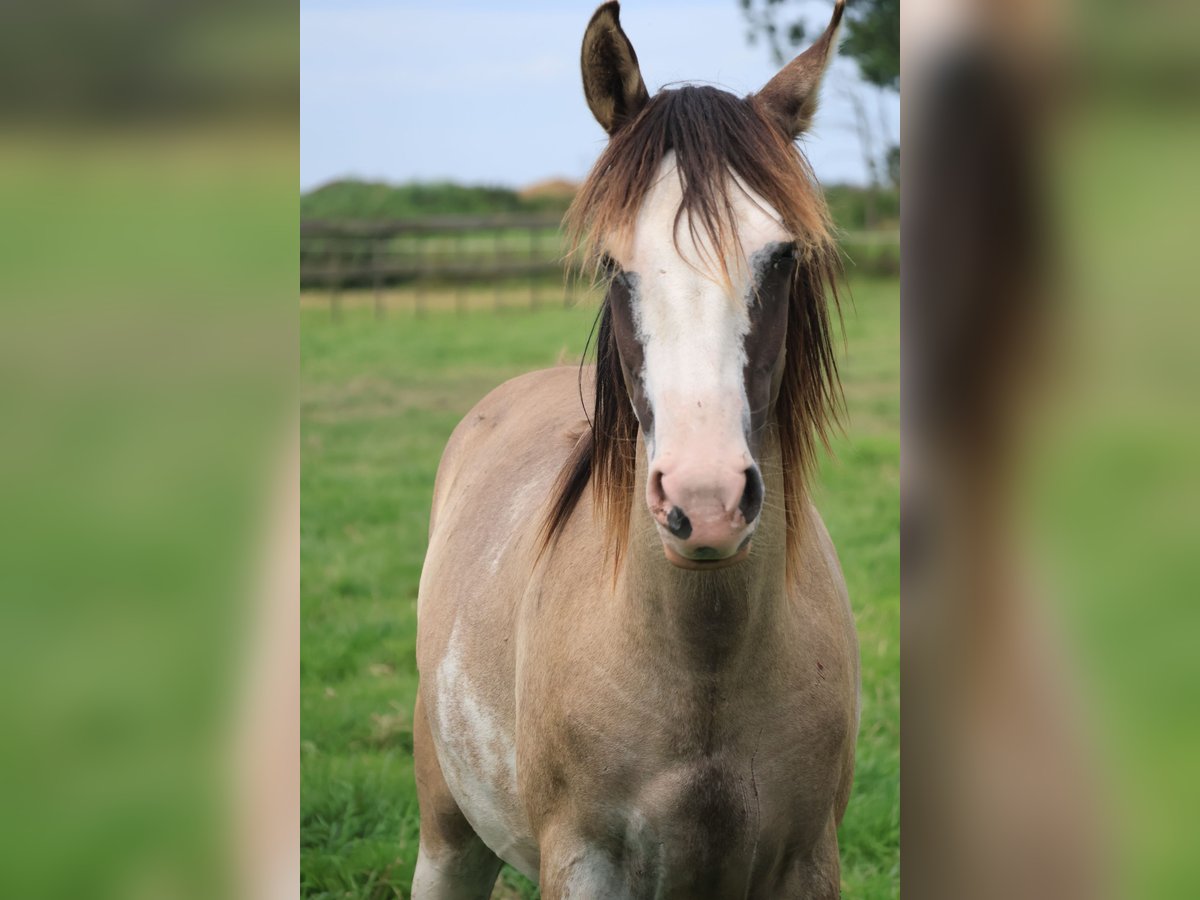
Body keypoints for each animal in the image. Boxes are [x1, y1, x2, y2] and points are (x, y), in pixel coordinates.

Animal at [410, 3, 854, 897]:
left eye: (783, 255)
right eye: (616, 263)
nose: (705, 504)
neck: (705, 672)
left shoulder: (807, 864)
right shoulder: (584, 863)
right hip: (447, 839)